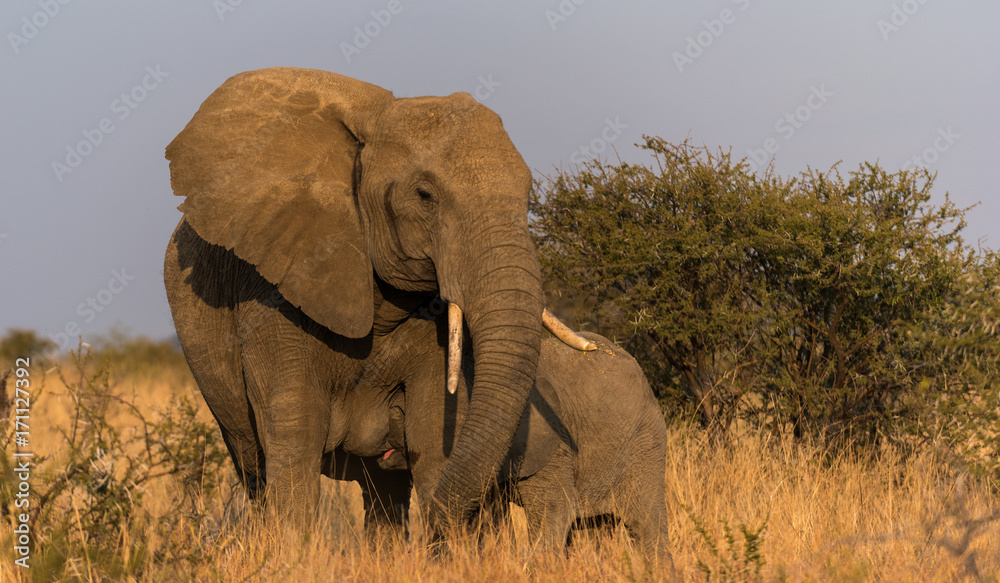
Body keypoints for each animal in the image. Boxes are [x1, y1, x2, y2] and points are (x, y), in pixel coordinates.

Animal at [162, 68, 592, 528]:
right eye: (424, 195)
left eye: (528, 195)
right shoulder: (268, 288)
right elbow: (296, 429)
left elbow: (432, 431)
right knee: (253, 464)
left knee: (383, 488)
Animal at [343, 311, 672, 563]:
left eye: (399, 412)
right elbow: (495, 518)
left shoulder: (554, 446)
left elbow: (553, 512)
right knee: (593, 528)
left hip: (646, 444)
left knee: (647, 526)